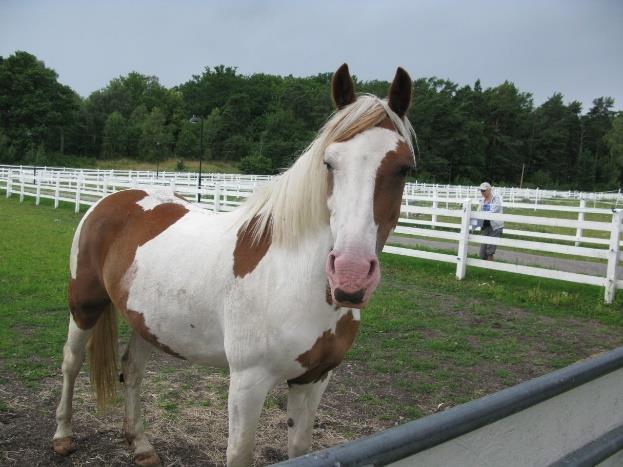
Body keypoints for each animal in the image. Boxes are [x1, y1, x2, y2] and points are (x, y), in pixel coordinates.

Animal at [52, 65, 414, 467]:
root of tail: (112, 200)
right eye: (329, 162)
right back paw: (63, 436)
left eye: (404, 169)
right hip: (85, 304)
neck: (291, 278)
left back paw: (141, 445)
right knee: (71, 363)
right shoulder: (247, 382)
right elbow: (239, 453)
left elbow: (299, 448)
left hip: (145, 320)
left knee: (131, 370)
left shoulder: (314, 379)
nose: (350, 275)